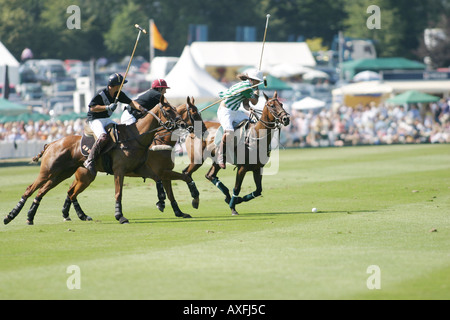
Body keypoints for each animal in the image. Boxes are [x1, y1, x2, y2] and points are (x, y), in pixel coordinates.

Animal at [3, 99, 183, 226]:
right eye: (168, 110)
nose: (181, 123)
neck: (136, 136)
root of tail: (52, 143)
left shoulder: (140, 168)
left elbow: (158, 179)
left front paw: (161, 202)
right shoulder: (120, 170)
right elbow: (118, 192)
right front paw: (120, 216)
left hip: (61, 175)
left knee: (45, 192)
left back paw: (31, 217)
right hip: (49, 171)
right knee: (30, 189)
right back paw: (10, 216)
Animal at [60, 96, 206, 220]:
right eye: (194, 112)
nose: (204, 130)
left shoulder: (164, 174)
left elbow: (171, 193)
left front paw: (179, 212)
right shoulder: (162, 172)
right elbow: (185, 177)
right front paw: (194, 198)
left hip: (83, 176)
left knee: (70, 191)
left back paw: (69, 213)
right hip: (86, 176)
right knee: (72, 192)